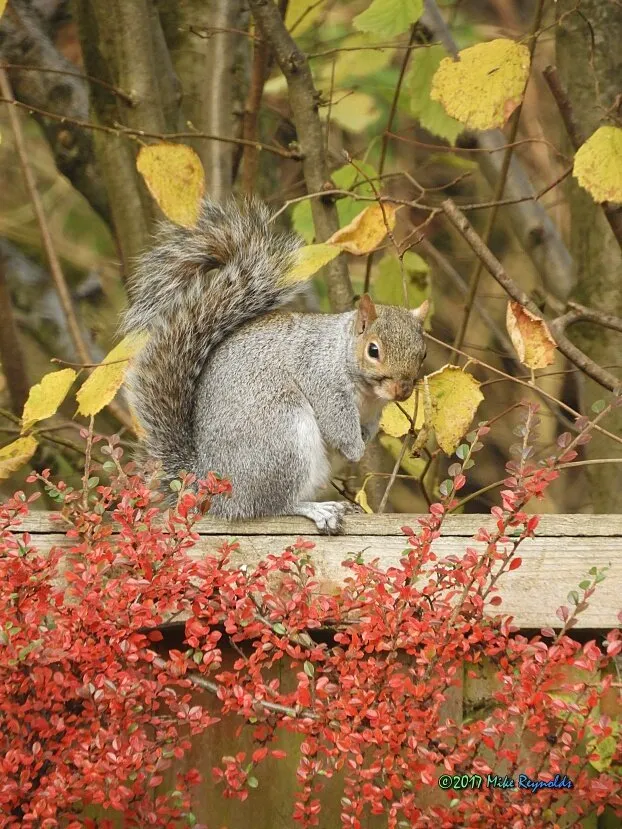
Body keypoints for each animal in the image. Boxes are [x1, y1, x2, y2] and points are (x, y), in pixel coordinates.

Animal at [123, 197, 429, 534]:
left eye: (423, 353)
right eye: (373, 350)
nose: (402, 390)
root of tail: (212, 486)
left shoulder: (374, 411)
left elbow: (369, 426)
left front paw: (365, 437)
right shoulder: (322, 379)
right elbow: (338, 424)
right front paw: (357, 450)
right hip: (283, 436)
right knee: (273, 505)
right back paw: (317, 509)